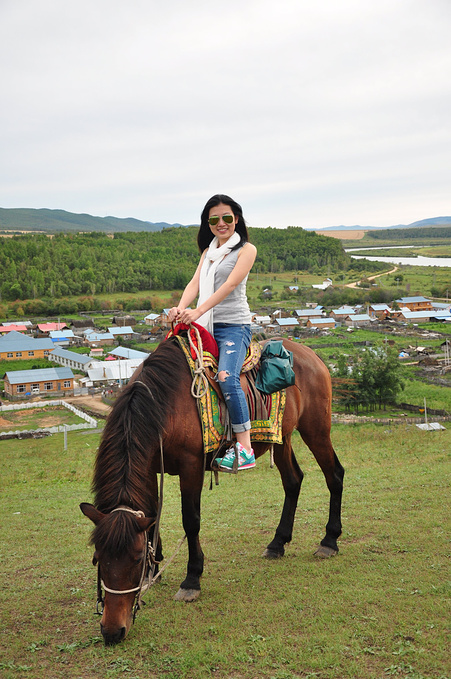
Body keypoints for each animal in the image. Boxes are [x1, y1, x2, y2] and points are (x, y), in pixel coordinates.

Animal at [79, 338, 344, 644]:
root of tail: (311, 355)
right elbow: (152, 517)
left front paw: (191, 580)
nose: (112, 631)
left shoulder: (191, 465)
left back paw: (329, 541)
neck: (162, 404)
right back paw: (277, 543)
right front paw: (153, 571)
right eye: (98, 558)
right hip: (282, 437)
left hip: (316, 429)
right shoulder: (150, 466)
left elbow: (190, 521)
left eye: (134, 559)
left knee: (334, 475)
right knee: (293, 481)